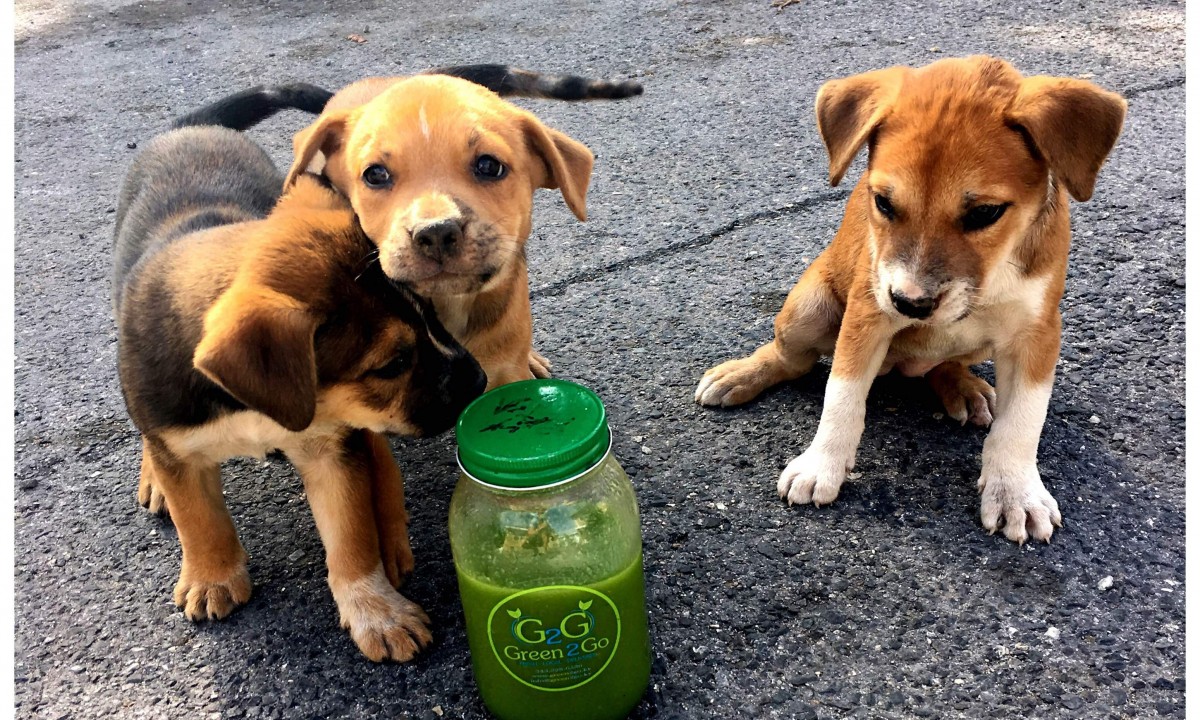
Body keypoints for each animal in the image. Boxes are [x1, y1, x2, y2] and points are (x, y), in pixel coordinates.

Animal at [113, 87, 487, 662]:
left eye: (429, 310)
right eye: (392, 364)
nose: (480, 382)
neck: (253, 405)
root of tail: (191, 126)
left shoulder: (331, 450)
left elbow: (351, 539)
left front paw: (375, 610)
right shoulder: (177, 437)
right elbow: (199, 520)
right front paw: (212, 577)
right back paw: (153, 479)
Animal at [696, 56, 1123, 542]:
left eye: (985, 213)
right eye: (883, 202)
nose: (910, 304)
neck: (996, 267)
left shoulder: (1037, 332)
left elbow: (1023, 421)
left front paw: (1016, 491)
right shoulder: (867, 312)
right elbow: (841, 394)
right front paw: (821, 464)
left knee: (943, 364)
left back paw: (963, 387)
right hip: (809, 308)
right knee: (794, 358)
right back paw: (742, 373)